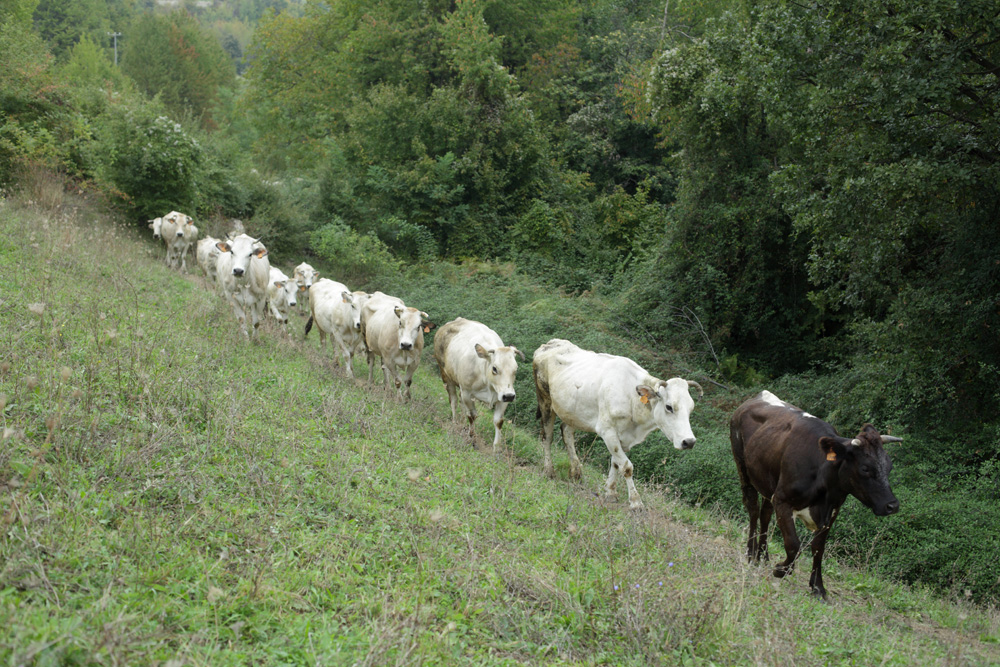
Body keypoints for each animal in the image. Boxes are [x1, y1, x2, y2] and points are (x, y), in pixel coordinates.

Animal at [434, 318, 528, 454]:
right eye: (495, 368)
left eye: (515, 369)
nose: (510, 396)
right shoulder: (467, 393)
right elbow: (472, 415)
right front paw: (472, 439)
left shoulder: (503, 396)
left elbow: (498, 421)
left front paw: (496, 449)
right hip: (446, 375)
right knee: (453, 401)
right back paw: (455, 421)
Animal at [532, 336, 704, 508]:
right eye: (669, 407)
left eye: (691, 408)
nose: (689, 441)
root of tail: (549, 344)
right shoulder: (607, 431)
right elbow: (627, 466)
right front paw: (636, 502)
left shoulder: (624, 437)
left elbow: (616, 462)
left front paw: (610, 493)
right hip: (545, 401)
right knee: (547, 436)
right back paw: (549, 471)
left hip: (572, 412)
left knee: (567, 433)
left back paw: (576, 473)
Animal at [732, 392, 904, 600]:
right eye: (865, 468)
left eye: (889, 466)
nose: (892, 505)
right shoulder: (782, 501)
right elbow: (793, 544)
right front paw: (781, 569)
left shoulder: (832, 511)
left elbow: (818, 548)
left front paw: (818, 587)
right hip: (743, 468)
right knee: (753, 510)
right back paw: (751, 554)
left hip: (767, 481)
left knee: (765, 514)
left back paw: (762, 557)